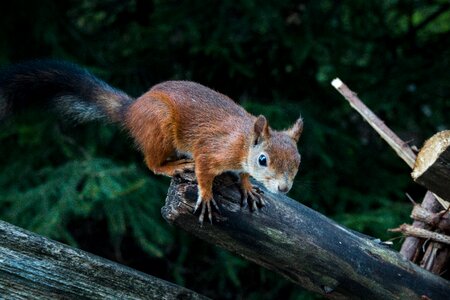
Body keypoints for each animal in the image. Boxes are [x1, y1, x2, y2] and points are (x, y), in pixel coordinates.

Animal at [0, 60, 302, 223]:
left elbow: (243, 176)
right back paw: (173, 166)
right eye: (263, 159)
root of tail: (132, 110)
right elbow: (204, 172)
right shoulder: (212, 151)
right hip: (159, 127)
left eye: (298, 161)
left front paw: (248, 186)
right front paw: (206, 195)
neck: (243, 142)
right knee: (151, 163)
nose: (284, 188)